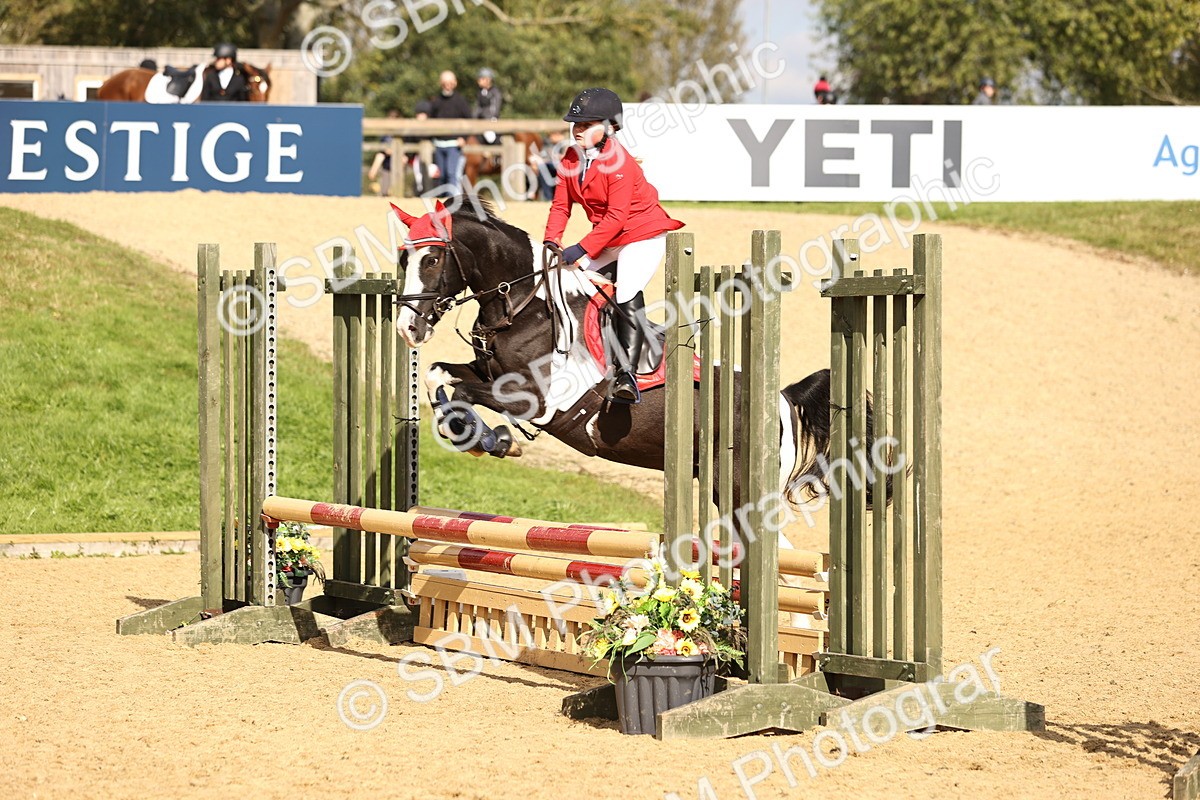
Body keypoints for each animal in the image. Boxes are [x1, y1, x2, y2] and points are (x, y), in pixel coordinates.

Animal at [390, 198, 884, 515]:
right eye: (402, 260)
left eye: (432, 260)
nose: (407, 327)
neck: (523, 306)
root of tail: (780, 396)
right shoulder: (485, 371)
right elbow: (439, 376)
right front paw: (483, 438)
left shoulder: (538, 401)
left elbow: (460, 388)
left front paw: (490, 439)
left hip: (741, 489)